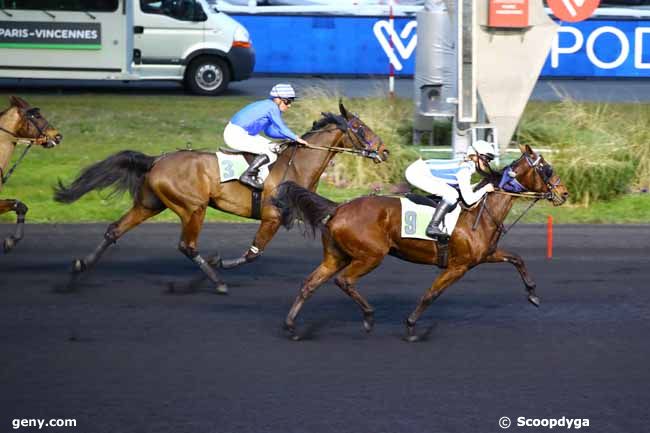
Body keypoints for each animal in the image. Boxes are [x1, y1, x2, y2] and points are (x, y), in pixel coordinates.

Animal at [54, 102, 384, 290]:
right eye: (359, 127)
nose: (383, 150)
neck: (295, 164)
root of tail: (157, 159)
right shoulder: (272, 217)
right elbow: (253, 254)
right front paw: (220, 263)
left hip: (150, 203)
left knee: (114, 230)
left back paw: (80, 268)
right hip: (193, 208)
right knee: (187, 246)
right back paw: (217, 282)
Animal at [270, 145, 564, 340]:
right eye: (546, 169)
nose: (564, 193)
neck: (481, 210)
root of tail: (339, 208)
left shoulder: (483, 256)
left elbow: (517, 258)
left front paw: (533, 294)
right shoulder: (458, 266)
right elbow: (431, 294)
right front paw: (411, 326)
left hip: (336, 256)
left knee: (309, 284)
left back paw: (291, 326)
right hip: (370, 255)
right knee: (344, 281)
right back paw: (368, 317)